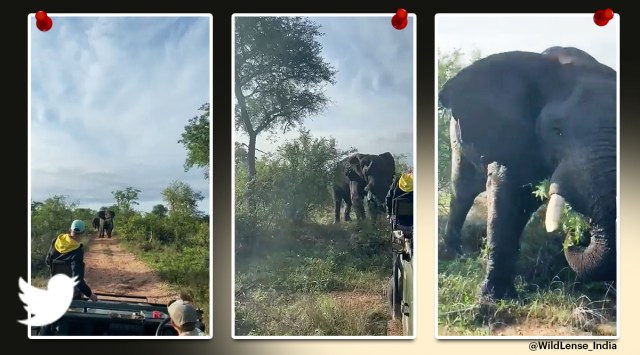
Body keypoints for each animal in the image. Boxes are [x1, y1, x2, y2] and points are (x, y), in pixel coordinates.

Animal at [440, 48, 616, 304]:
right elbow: (503, 198)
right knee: (462, 192)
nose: (574, 241)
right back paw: (453, 256)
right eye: (556, 131)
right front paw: (493, 300)